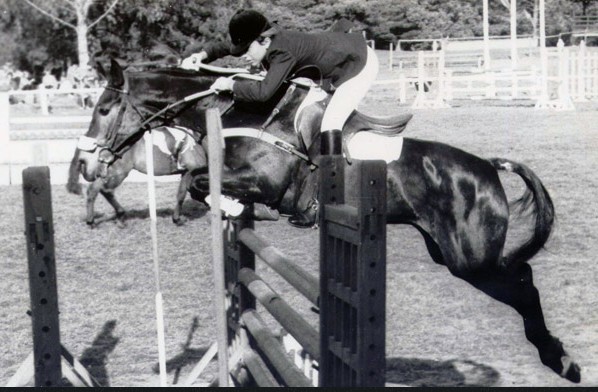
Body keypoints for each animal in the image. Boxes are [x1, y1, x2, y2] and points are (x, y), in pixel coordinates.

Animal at [82, 59, 580, 384]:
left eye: (104, 109)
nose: (87, 164)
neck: (243, 112)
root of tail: (488, 167)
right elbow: (196, 178)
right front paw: (224, 208)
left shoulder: (265, 179)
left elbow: (199, 178)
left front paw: (223, 206)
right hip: (449, 253)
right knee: (521, 275)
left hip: (470, 259)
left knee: (524, 284)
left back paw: (561, 361)